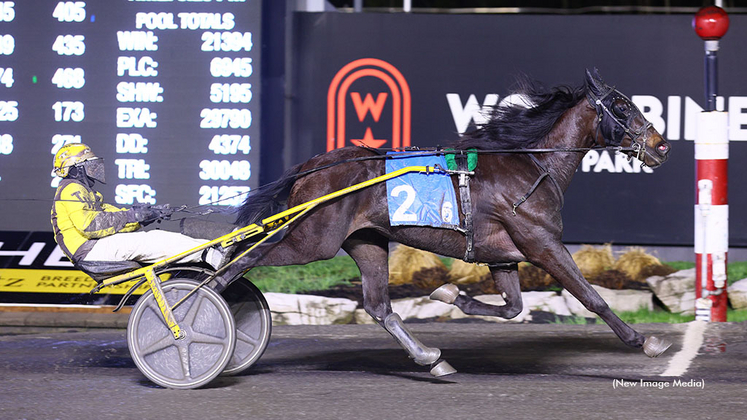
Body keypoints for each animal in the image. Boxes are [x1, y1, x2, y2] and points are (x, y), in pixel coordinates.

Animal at [216, 69, 672, 378]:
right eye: (622, 107)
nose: (661, 145)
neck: (533, 164)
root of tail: (312, 166)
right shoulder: (543, 244)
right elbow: (592, 298)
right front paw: (645, 341)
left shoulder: (504, 256)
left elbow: (513, 308)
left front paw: (450, 295)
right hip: (312, 240)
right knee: (240, 259)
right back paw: (204, 302)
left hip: (366, 242)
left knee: (379, 307)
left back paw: (431, 359)